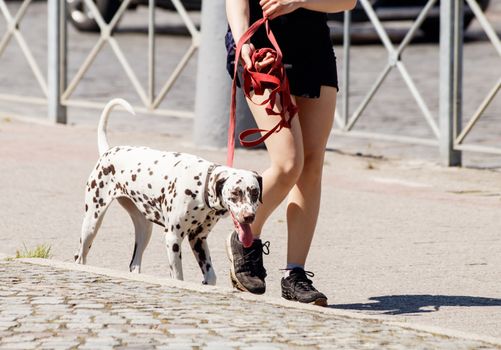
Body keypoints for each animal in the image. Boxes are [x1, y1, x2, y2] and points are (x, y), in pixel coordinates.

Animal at [75, 98, 262, 284]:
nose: (250, 216)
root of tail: (108, 151)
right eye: (235, 192)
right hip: (91, 224)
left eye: (254, 193)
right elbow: (178, 277)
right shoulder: (173, 238)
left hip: (145, 230)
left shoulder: (198, 239)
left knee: (134, 264)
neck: (201, 184)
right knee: (79, 257)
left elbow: (211, 276)